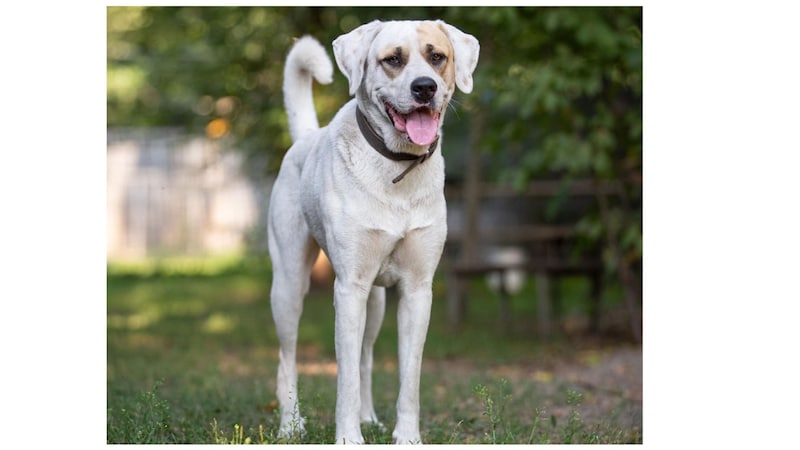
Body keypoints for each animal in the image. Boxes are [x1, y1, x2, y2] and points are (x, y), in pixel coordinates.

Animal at [268, 20, 482, 442]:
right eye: (393, 60)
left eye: (437, 57)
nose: (424, 88)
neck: (397, 166)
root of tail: (306, 138)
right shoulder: (349, 288)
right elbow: (344, 377)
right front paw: (348, 437)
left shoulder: (417, 290)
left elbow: (408, 375)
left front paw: (408, 436)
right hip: (288, 285)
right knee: (288, 357)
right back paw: (291, 425)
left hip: (377, 302)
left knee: (366, 357)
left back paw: (369, 416)